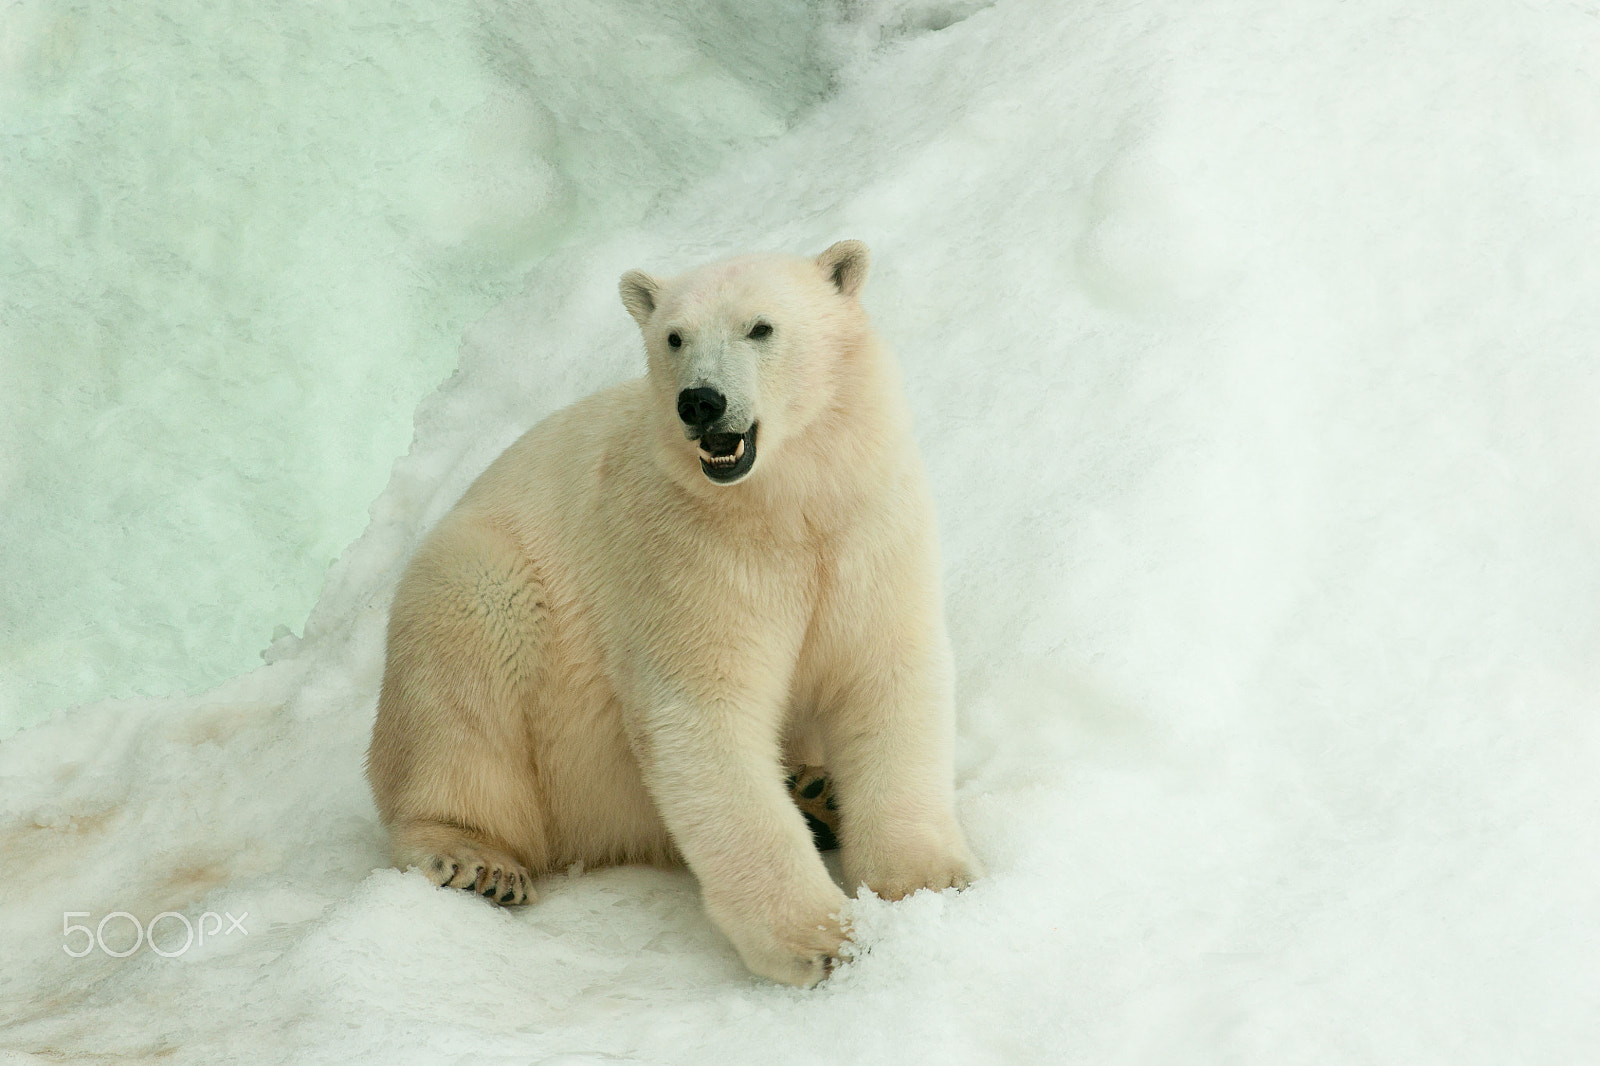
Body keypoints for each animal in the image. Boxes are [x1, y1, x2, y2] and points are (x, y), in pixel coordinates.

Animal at [368, 238, 979, 979]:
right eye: (674, 337)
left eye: (760, 327)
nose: (701, 402)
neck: (785, 501)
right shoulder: (687, 550)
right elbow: (703, 716)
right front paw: (821, 939)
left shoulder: (865, 524)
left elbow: (885, 674)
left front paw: (928, 879)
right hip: (487, 591)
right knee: (464, 684)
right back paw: (475, 858)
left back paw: (816, 793)